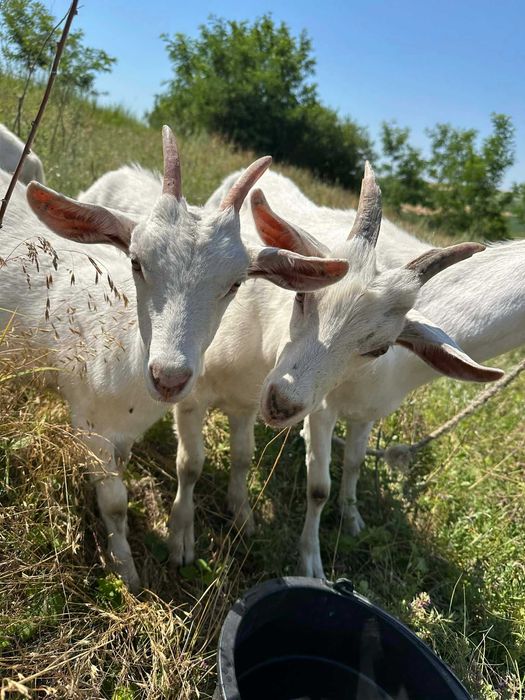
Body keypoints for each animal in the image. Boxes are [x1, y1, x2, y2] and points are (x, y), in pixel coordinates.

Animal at [0, 127, 345, 591]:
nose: (169, 377)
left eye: (236, 283)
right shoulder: (87, 424)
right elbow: (115, 502)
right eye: (136, 261)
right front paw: (126, 572)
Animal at [257, 166, 525, 577]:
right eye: (302, 296)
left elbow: (353, 464)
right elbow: (319, 488)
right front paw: (311, 562)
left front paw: (352, 520)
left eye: (379, 348)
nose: (281, 404)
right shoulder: (321, 410)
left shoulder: (367, 412)